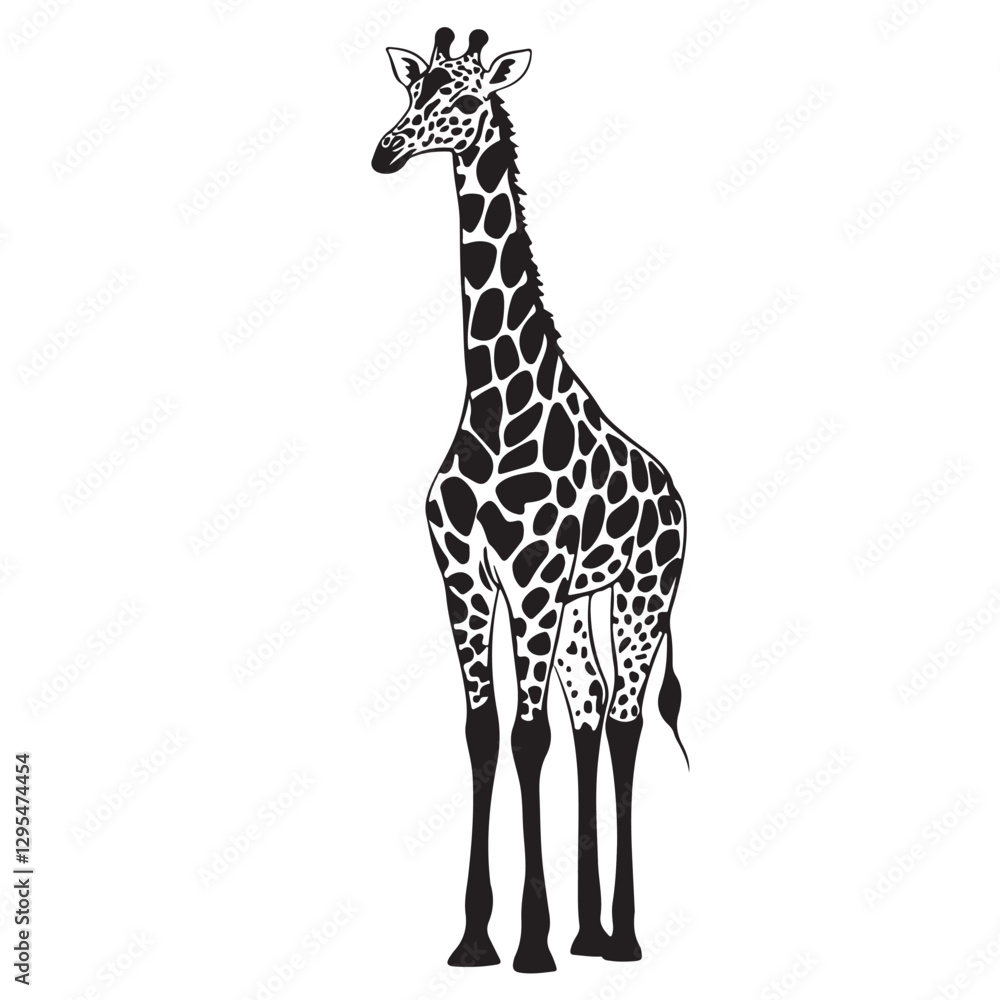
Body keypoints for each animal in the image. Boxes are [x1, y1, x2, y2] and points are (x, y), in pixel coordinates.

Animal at [372, 28, 687, 974]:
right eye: (413, 90)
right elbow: (485, 733)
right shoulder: (465, 578)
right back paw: (593, 931)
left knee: (622, 723)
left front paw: (532, 944)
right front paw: (479, 938)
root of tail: (678, 497)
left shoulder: (535, 580)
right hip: (588, 601)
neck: (492, 397)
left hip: (641, 595)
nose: (385, 151)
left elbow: (527, 737)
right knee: (592, 717)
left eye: (467, 98)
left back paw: (621, 937)